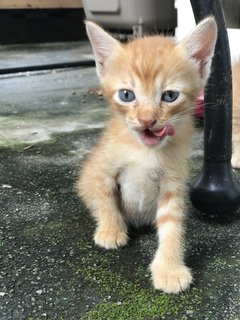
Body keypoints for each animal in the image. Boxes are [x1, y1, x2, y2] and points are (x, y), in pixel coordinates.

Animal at [77, 16, 218, 292]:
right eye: (127, 95)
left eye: (170, 95)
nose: (146, 120)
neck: (145, 151)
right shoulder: (102, 169)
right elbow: (106, 199)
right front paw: (110, 230)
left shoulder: (172, 183)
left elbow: (172, 226)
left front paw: (169, 268)